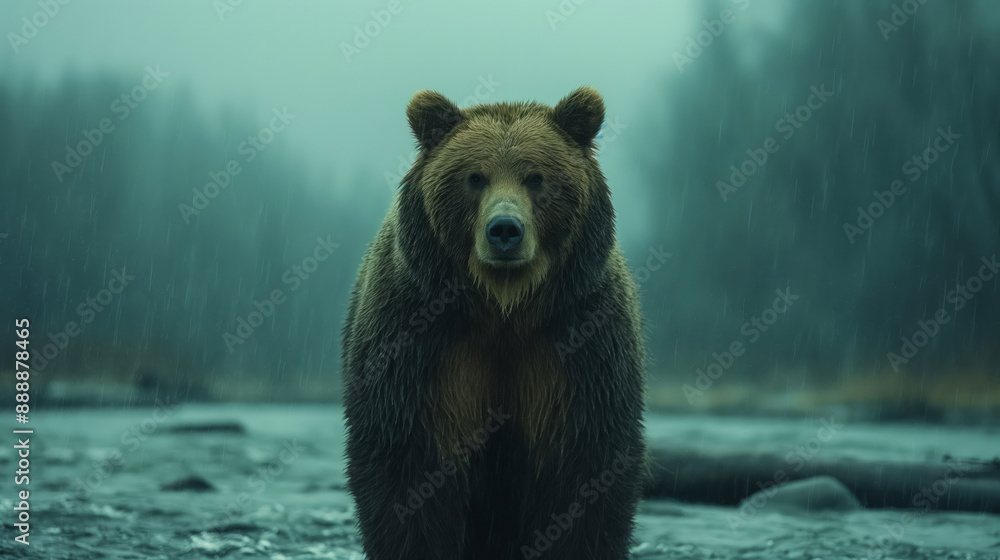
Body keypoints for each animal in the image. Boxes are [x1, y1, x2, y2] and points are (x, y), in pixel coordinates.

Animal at [342, 86, 646, 559]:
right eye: (475, 177)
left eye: (535, 177)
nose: (505, 230)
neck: (504, 309)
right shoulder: (421, 342)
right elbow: (406, 468)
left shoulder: (577, 342)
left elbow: (585, 471)